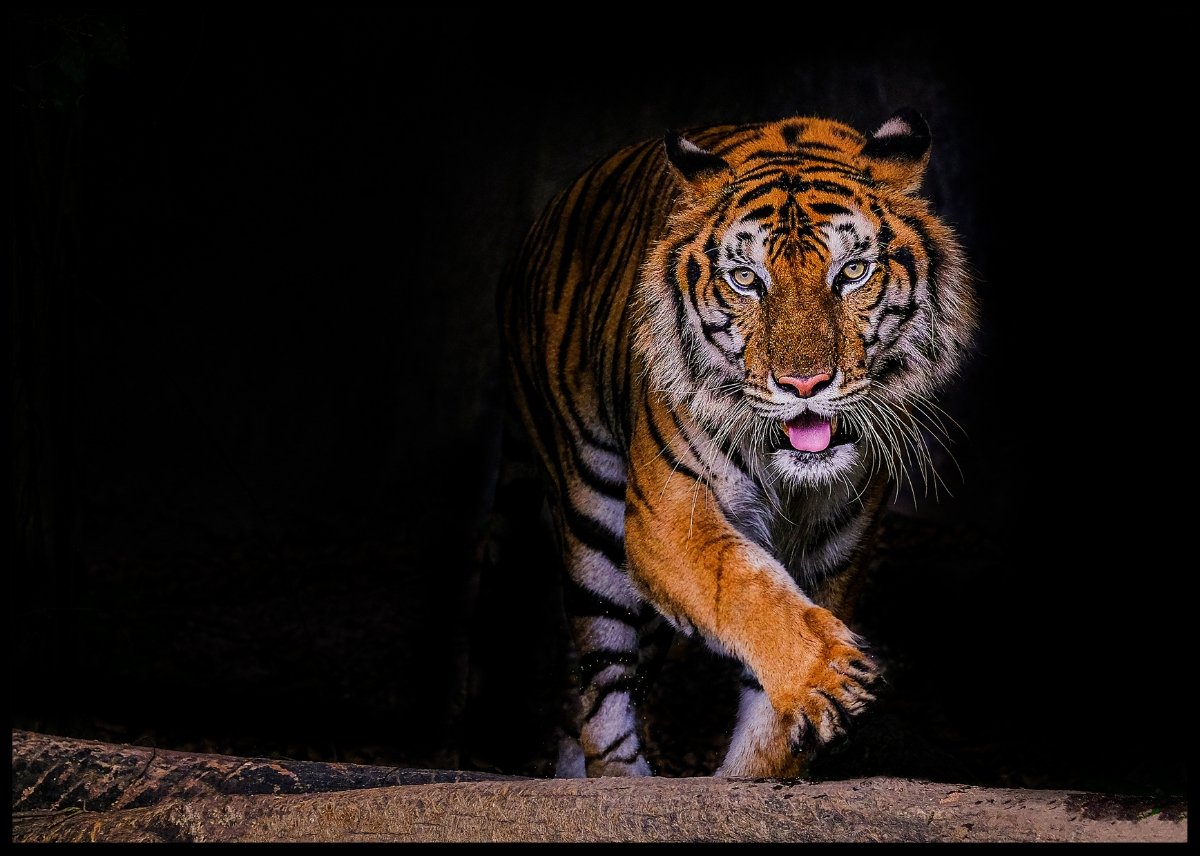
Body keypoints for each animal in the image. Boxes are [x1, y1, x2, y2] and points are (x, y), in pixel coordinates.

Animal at [496, 108, 977, 779]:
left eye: (852, 272)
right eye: (747, 279)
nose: (804, 384)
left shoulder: (838, 544)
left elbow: (770, 709)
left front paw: (756, 771)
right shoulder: (669, 515)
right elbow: (747, 588)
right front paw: (828, 677)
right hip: (593, 518)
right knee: (601, 684)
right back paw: (621, 779)